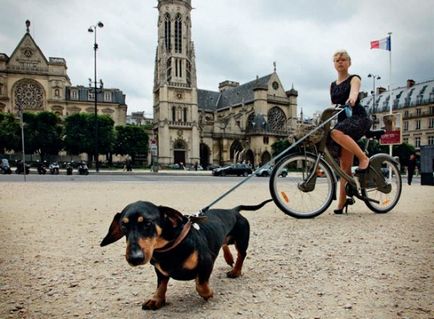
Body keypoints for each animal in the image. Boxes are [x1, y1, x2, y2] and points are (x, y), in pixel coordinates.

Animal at [101, 200, 272, 310]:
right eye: (123, 225)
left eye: (148, 224)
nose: (134, 258)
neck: (169, 249)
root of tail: (233, 210)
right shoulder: (160, 270)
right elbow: (161, 285)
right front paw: (156, 300)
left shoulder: (206, 263)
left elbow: (200, 284)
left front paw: (208, 293)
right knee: (224, 244)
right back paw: (229, 258)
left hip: (241, 241)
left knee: (242, 255)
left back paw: (236, 270)